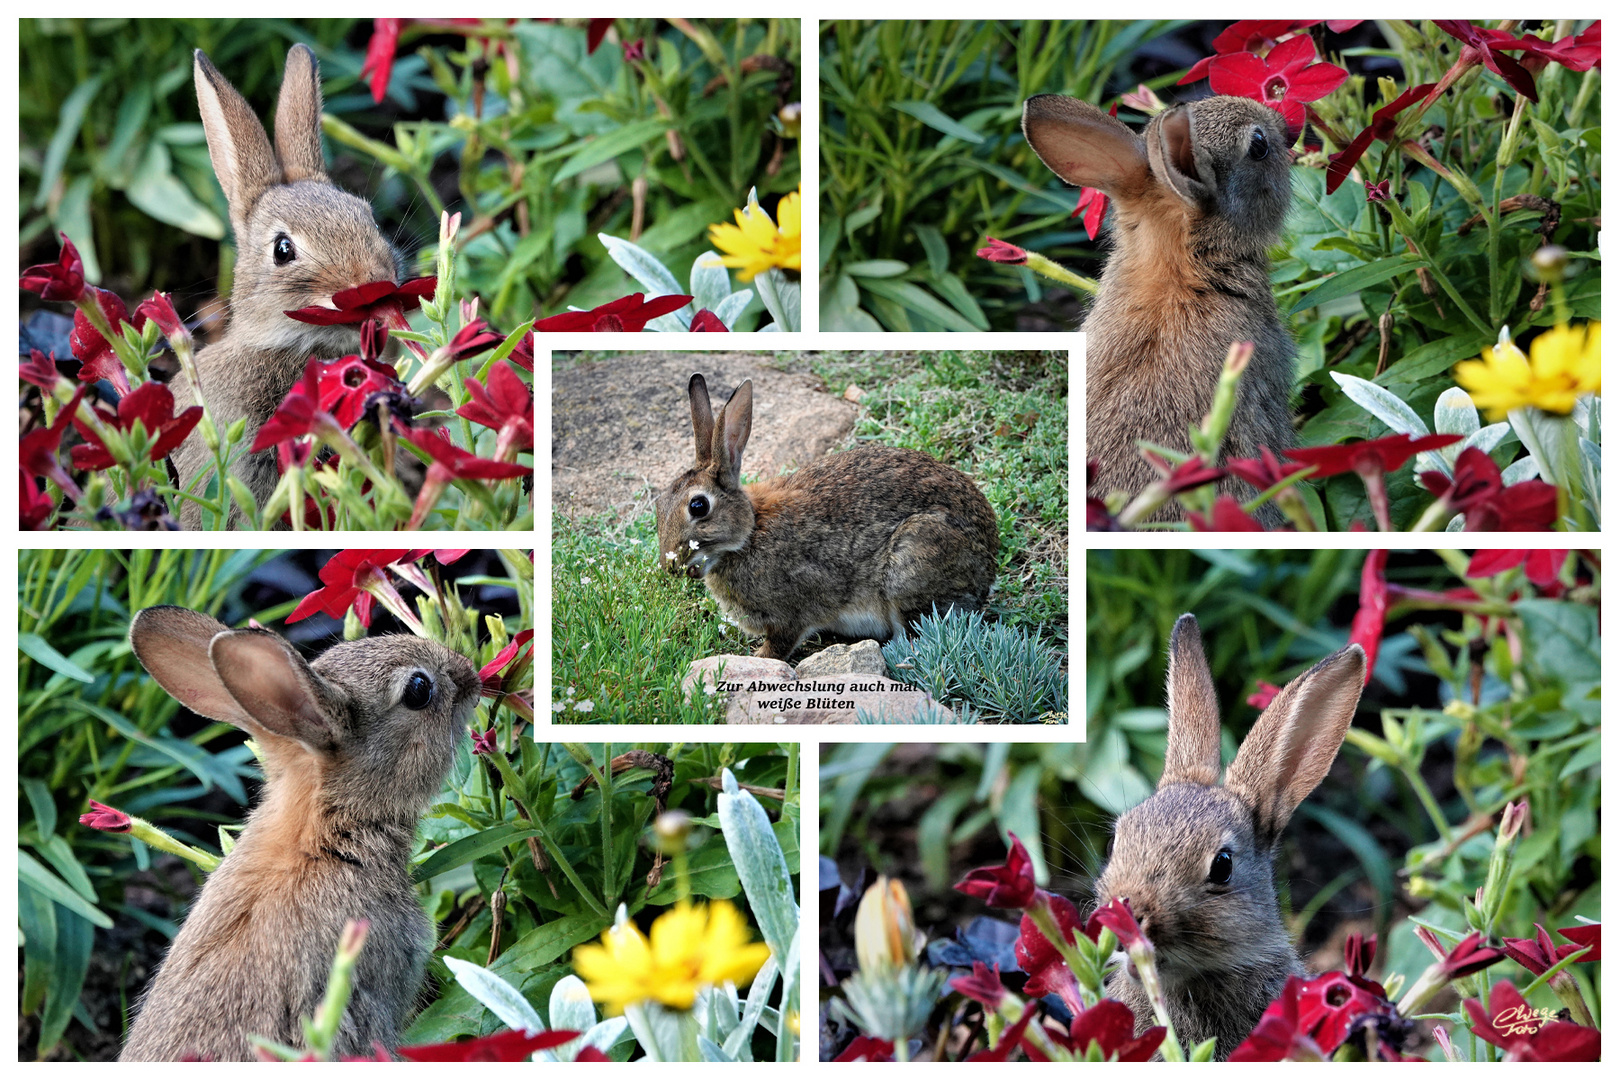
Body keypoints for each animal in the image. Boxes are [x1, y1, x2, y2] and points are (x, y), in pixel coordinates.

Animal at [657, 375, 997, 663]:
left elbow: (780, 645)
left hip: (912, 562)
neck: (750, 533)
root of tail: (988, 565)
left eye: (698, 506)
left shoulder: (792, 612)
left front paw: (757, 659)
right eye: (659, 504)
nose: (668, 566)